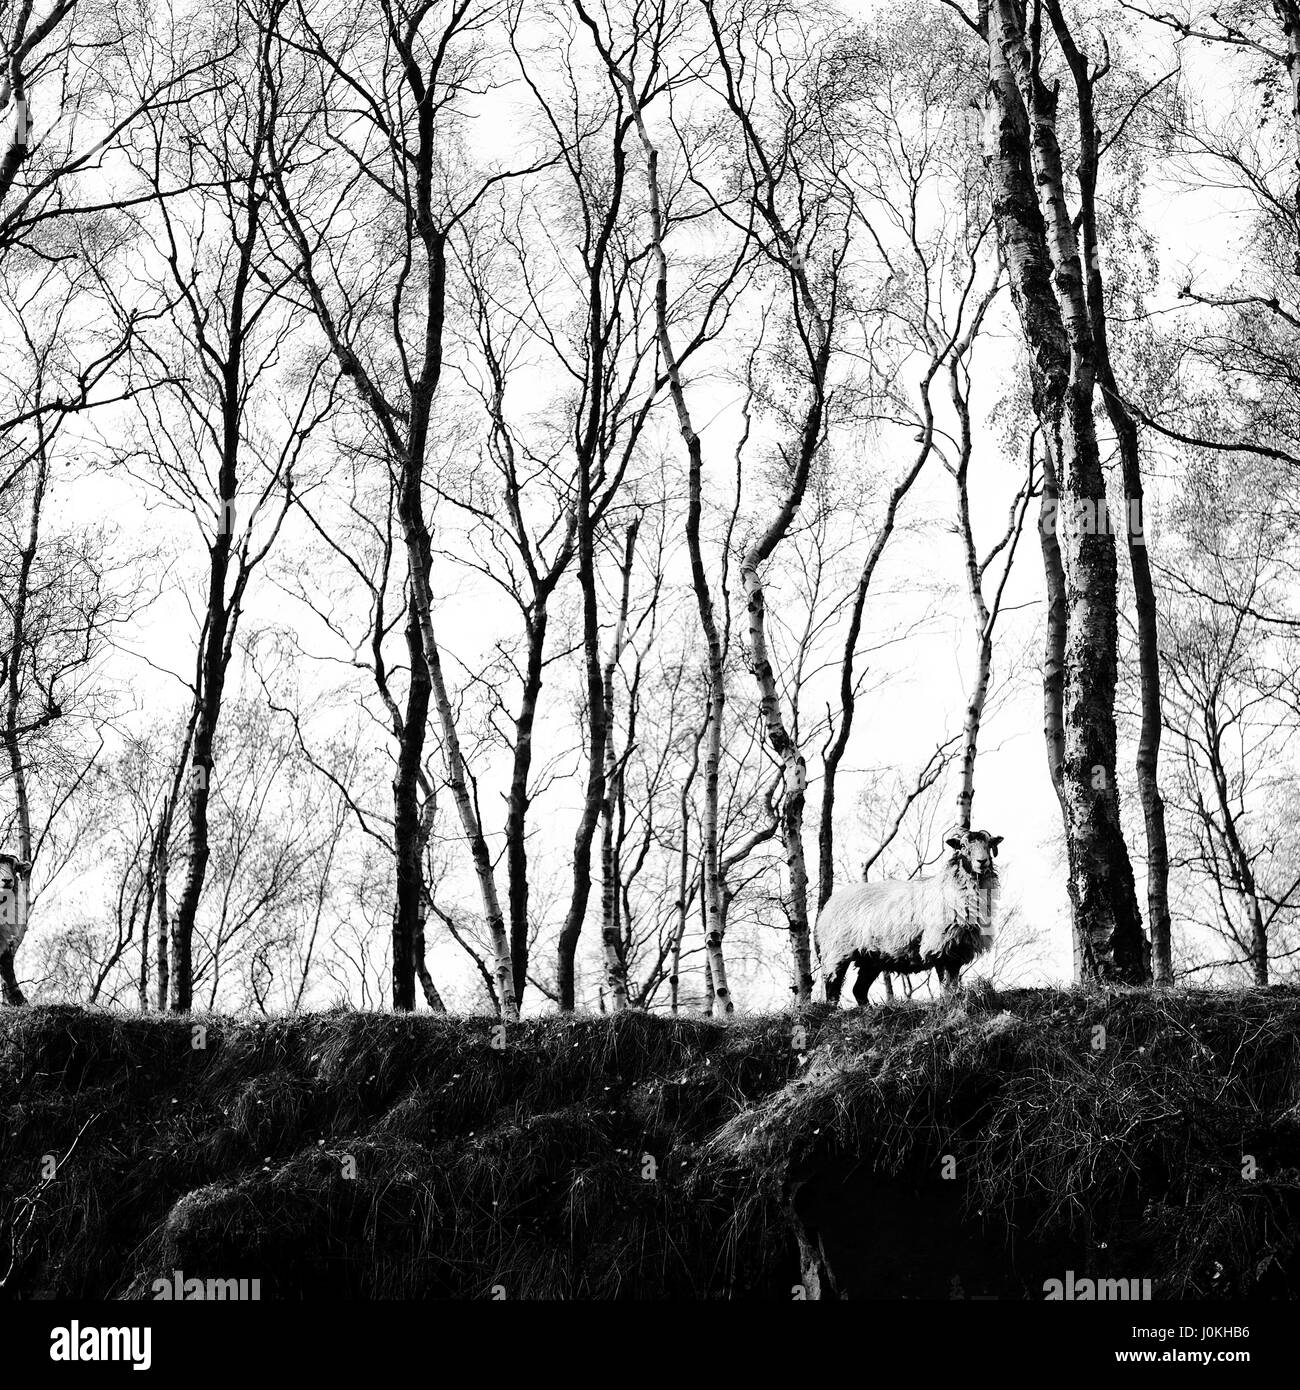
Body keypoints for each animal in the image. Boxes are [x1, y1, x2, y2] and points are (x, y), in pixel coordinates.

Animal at [811, 822, 1006, 1011]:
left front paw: (954, 1001)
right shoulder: (939, 946)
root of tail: (829, 905)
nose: (982, 861)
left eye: (989, 845)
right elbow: (945, 982)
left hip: (870, 957)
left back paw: (870, 1010)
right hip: (838, 950)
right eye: (964, 846)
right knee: (832, 983)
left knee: (858, 989)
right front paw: (947, 1003)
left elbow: (952, 983)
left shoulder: (957, 950)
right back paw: (833, 1009)